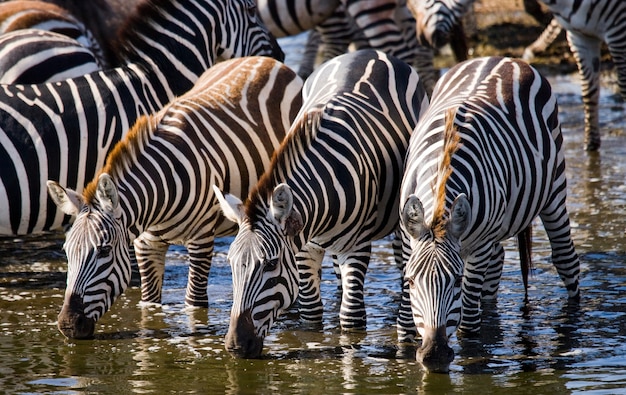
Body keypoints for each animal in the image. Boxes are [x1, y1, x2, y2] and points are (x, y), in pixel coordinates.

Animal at [45, 56, 302, 340]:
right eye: (67, 251)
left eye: (103, 250)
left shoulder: (201, 240)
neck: (156, 203)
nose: (68, 324)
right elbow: (149, 303)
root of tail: (264, 60)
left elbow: (194, 305)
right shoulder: (145, 245)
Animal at [212, 48, 426, 358]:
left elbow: (352, 319)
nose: (236, 346)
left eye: (271, 264)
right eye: (230, 263)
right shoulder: (304, 249)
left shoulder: (357, 247)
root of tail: (368, 51)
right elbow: (311, 314)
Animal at [398, 56, 576, 374]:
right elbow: (406, 322)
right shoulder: (409, 242)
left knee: (566, 262)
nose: (434, 354)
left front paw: (473, 362)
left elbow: (468, 327)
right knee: (496, 268)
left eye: (456, 281)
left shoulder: (478, 249)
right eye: (411, 282)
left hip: (554, 191)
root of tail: (502, 58)